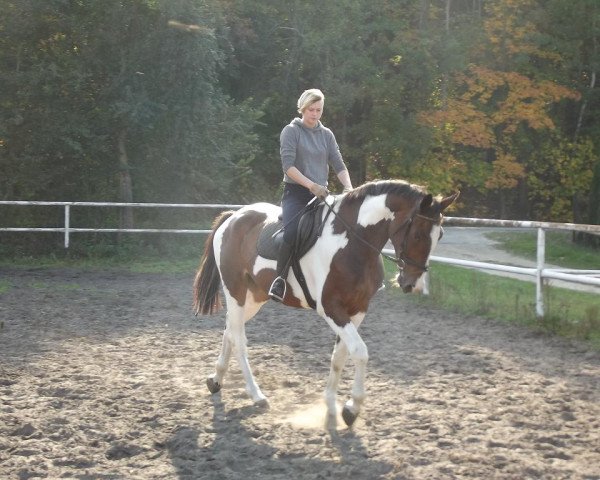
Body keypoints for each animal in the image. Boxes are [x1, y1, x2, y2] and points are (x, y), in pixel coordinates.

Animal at [192, 178, 460, 426]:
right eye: (417, 234)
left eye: (440, 235)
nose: (411, 284)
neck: (353, 243)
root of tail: (233, 217)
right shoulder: (332, 309)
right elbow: (359, 352)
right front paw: (352, 408)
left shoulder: (358, 310)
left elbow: (339, 356)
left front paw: (331, 404)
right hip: (235, 291)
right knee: (239, 339)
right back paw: (256, 395)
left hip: (255, 297)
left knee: (229, 329)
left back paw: (215, 380)